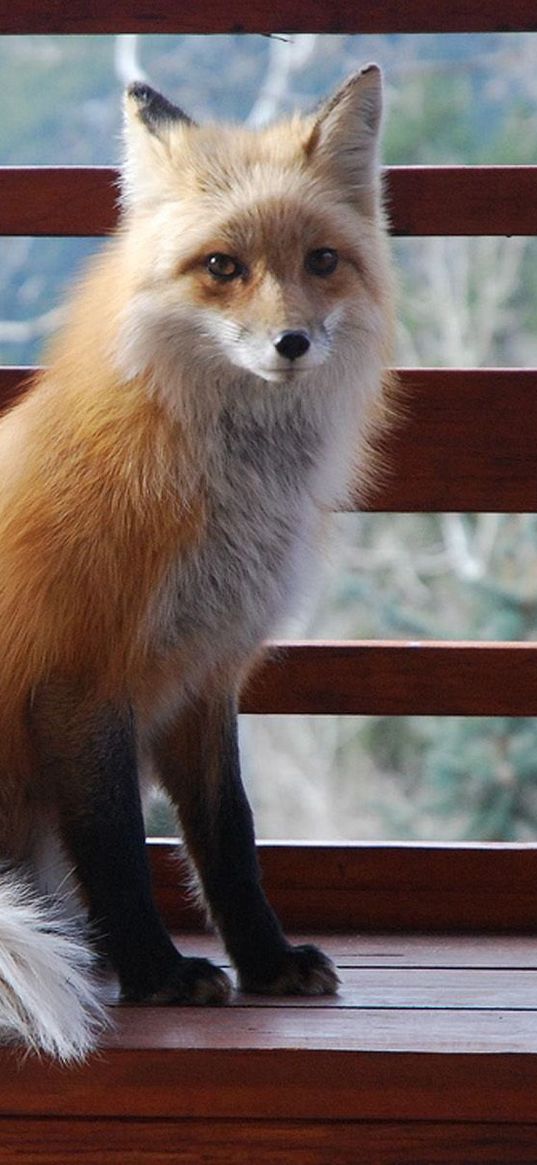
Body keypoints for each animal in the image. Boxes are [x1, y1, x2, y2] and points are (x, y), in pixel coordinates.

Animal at [0, 66, 393, 1067]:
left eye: (320, 261)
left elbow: (229, 835)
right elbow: (115, 850)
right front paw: (154, 974)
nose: (292, 343)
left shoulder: (206, 671)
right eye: (222, 266)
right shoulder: (82, 677)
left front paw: (263, 960)